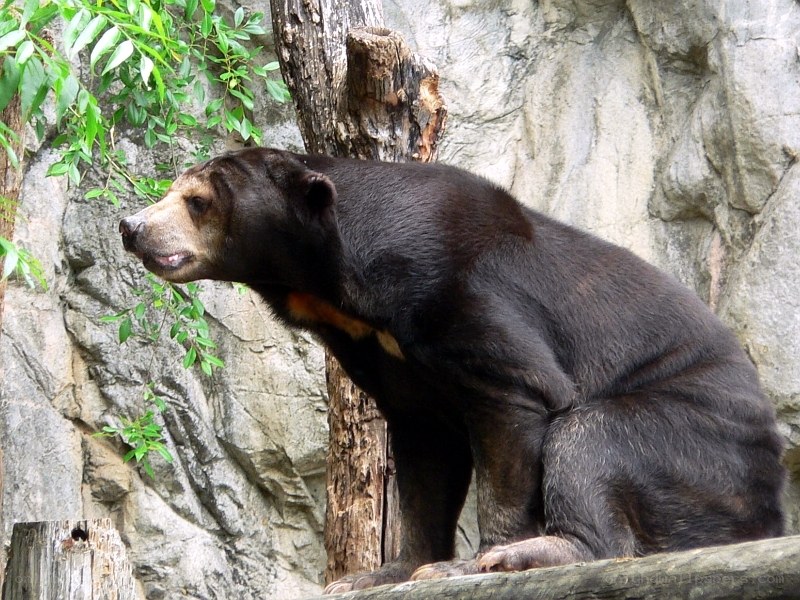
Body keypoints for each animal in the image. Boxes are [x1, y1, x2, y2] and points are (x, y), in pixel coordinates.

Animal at [119, 147, 785, 592]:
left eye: (197, 201)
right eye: (174, 190)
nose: (131, 227)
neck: (339, 290)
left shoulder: (460, 292)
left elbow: (517, 396)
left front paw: (472, 561)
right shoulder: (385, 354)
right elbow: (424, 456)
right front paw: (380, 572)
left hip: (696, 444)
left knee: (592, 438)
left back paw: (545, 550)